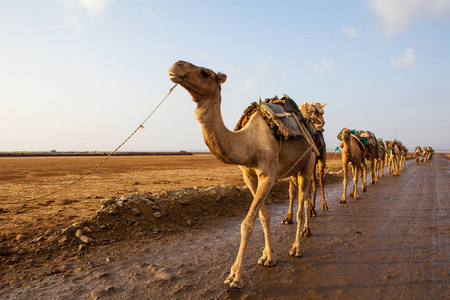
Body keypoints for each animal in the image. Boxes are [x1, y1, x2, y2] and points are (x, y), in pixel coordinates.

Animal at [169, 60, 316, 288]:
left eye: (205, 73)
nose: (177, 66)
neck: (249, 143)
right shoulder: (249, 176)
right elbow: (263, 217)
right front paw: (268, 257)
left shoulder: (268, 176)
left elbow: (247, 224)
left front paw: (235, 276)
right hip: (293, 171)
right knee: (305, 197)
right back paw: (304, 232)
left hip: (308, 166)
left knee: (302, 204)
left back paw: (297, 248)